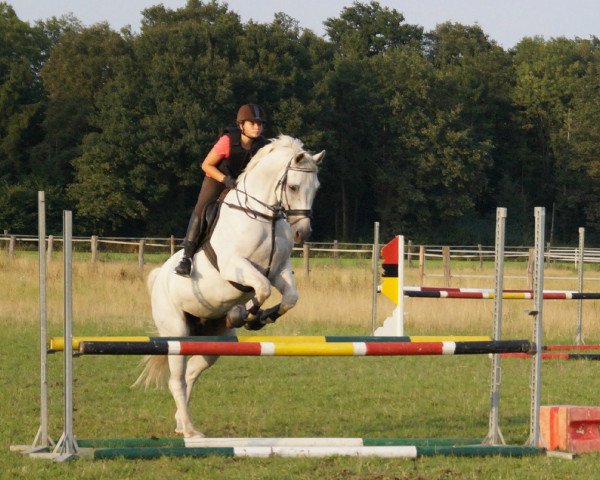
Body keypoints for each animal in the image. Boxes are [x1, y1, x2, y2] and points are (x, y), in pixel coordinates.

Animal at [135, 135, 324, 438]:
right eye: (294, 186)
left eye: (316, 189)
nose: (302, 233)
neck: (265, 216)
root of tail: (158, 278)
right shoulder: (235, 265)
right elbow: (262, 288)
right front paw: (244, 314)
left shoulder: (279, 270)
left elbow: (289, 297)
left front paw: (260, 317)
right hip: (176, 331)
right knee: (177, 379)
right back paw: (190, 431)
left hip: (214, 340)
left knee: (191, 374)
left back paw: (181, 422)